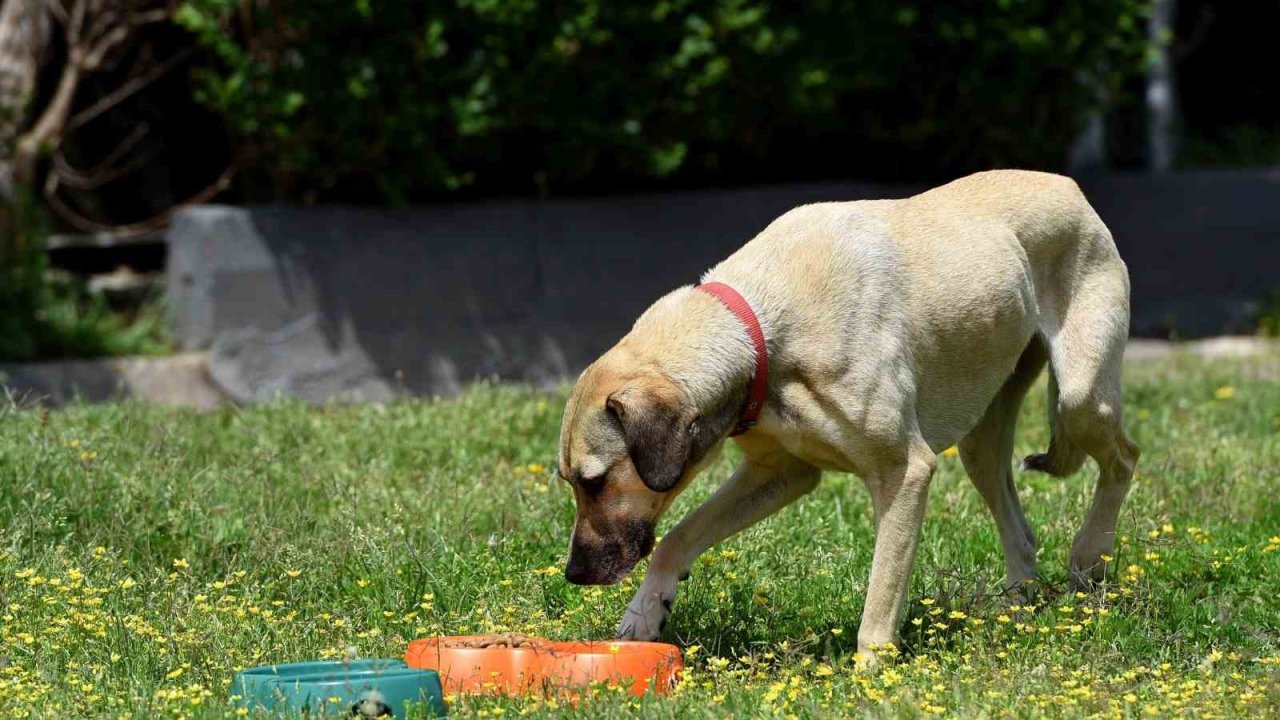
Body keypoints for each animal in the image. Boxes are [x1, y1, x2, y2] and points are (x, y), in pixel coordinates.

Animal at [555, 169, 1136, 661]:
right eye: (571, 482)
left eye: (595, 481)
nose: (574, 573)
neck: (761, 326)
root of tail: (1067, 184)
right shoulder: (781, 473)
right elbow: (677, 538)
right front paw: (645, 612)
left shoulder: (905, 473)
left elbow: (882, 592)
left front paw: (872, 675)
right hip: (982, 440)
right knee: (1021, 528)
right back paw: (1016, 606)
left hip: (1081, 398)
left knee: (1124, 458)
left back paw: (1090, 556)